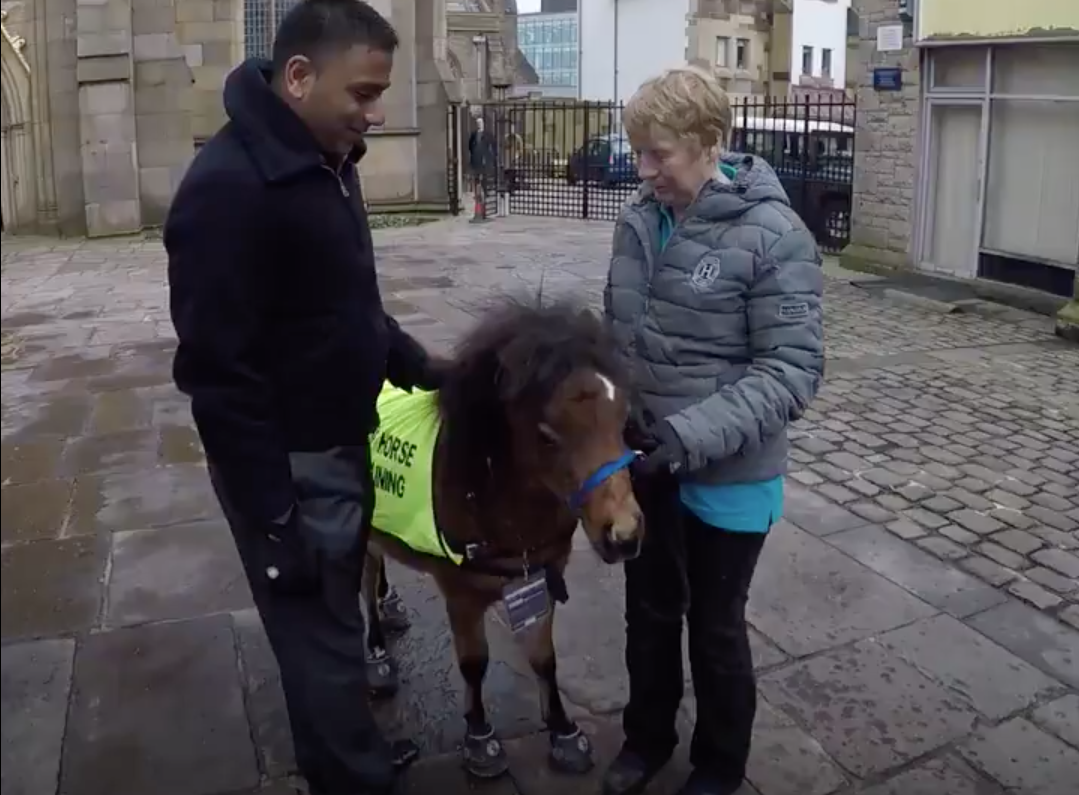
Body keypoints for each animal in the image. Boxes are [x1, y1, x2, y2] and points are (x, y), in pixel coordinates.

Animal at [358, 297, 643, 776]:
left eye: (623, 419)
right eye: (547, 435)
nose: (623, 534)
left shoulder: (540, 574)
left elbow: (544, 658)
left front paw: (564, 732)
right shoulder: (461, 592)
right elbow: (474, 664)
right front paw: (480, 737)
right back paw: (376, 653)